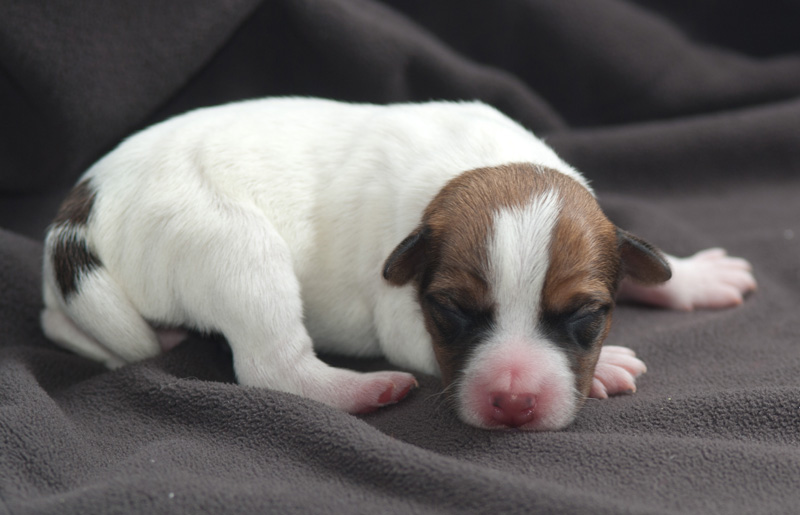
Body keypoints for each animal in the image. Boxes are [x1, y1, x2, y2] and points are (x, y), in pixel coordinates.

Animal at [42, 97, 756, 432]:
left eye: (586, 316)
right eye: (453, 313)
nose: (513, 401)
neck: (482, 164)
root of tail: (83, 209)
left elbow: (638, 251)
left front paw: (692, 275)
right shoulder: (403, 312)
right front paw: (608, 367)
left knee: (61, 325)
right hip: (235, 248)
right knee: (272, 366)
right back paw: (362, 389)